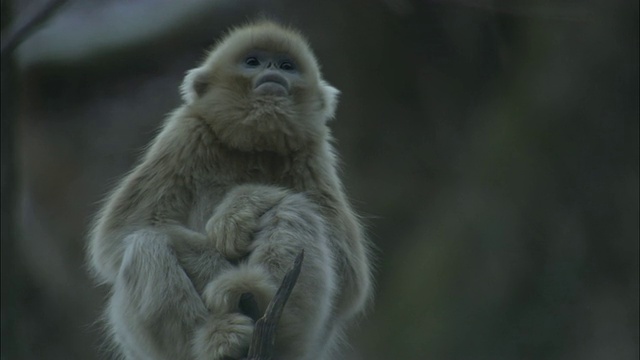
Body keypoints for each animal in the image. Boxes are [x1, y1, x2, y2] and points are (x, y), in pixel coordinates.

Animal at [87, 20, 372, 360]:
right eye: (253, 61)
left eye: (287, 66)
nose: (273, 68)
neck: (252, 147)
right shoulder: (186, 133)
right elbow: (118, 235)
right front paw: (223, 257)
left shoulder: (313, 152)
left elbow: (350, 277)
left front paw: (237, 210)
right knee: (145, 245)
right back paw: (221, 337)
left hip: (310, 342)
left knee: (293, 209)